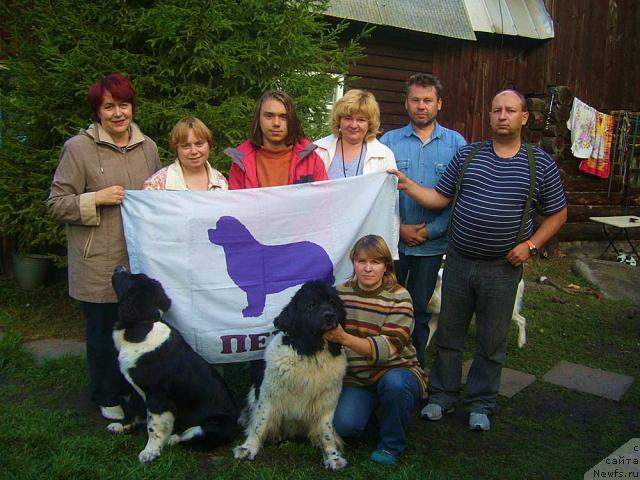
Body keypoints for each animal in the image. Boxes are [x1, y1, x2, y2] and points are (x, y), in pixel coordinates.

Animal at [109, 268, 239, 464]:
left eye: (130, 278)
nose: (119, 268)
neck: (142, 327)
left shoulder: (157, 394)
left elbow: (154, 426)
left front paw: (150, 452)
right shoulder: (137, 388)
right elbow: (133, 410)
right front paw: (121, 426)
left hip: (215, 424)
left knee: (191, 437)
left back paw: (171, 438)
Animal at [232, 280, 348, 470]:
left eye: (332, 303)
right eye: (311, 305)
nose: (330, 315)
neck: (311, 353)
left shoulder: (328, 400)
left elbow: (327, 431)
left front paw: (332, 457)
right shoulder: (268, 394)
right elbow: (259, 424)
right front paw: (247, 448)